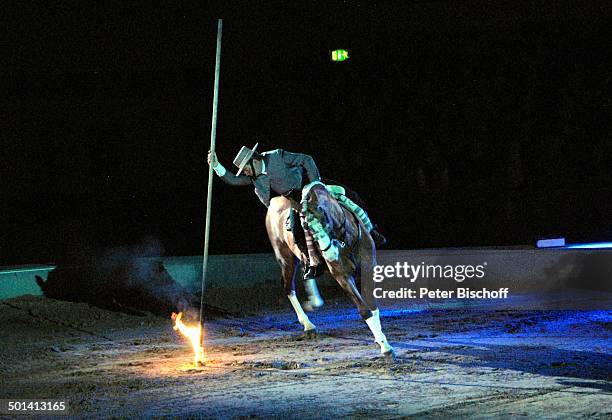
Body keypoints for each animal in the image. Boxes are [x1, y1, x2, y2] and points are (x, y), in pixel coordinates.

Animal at [266, 180, 394, 358]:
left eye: (322, 218)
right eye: (307, 227)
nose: (331, 253)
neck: (345, 239)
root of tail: (274, 201)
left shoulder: (368, 269)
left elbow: (373, 306)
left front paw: (381, 340)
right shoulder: (342, 276)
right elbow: (364, 309)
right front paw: (385, 346)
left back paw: (314, 299)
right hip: (285, 258)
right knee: (287, 286)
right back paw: (308, 325)